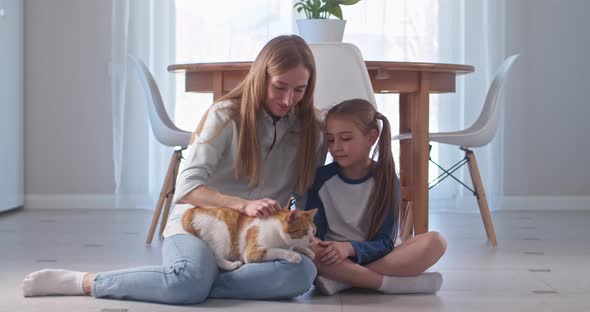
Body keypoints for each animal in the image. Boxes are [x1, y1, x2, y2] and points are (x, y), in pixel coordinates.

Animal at [183, 206, 320, 270]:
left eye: (313, 231)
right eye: (304, 231)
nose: (312, 241)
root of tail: (192, 210)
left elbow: (295, 246)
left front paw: (308, 251)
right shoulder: (253, 252)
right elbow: (278, 250)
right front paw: (294, 255)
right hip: (221, 232)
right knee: (217, 257)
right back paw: (233, 265)